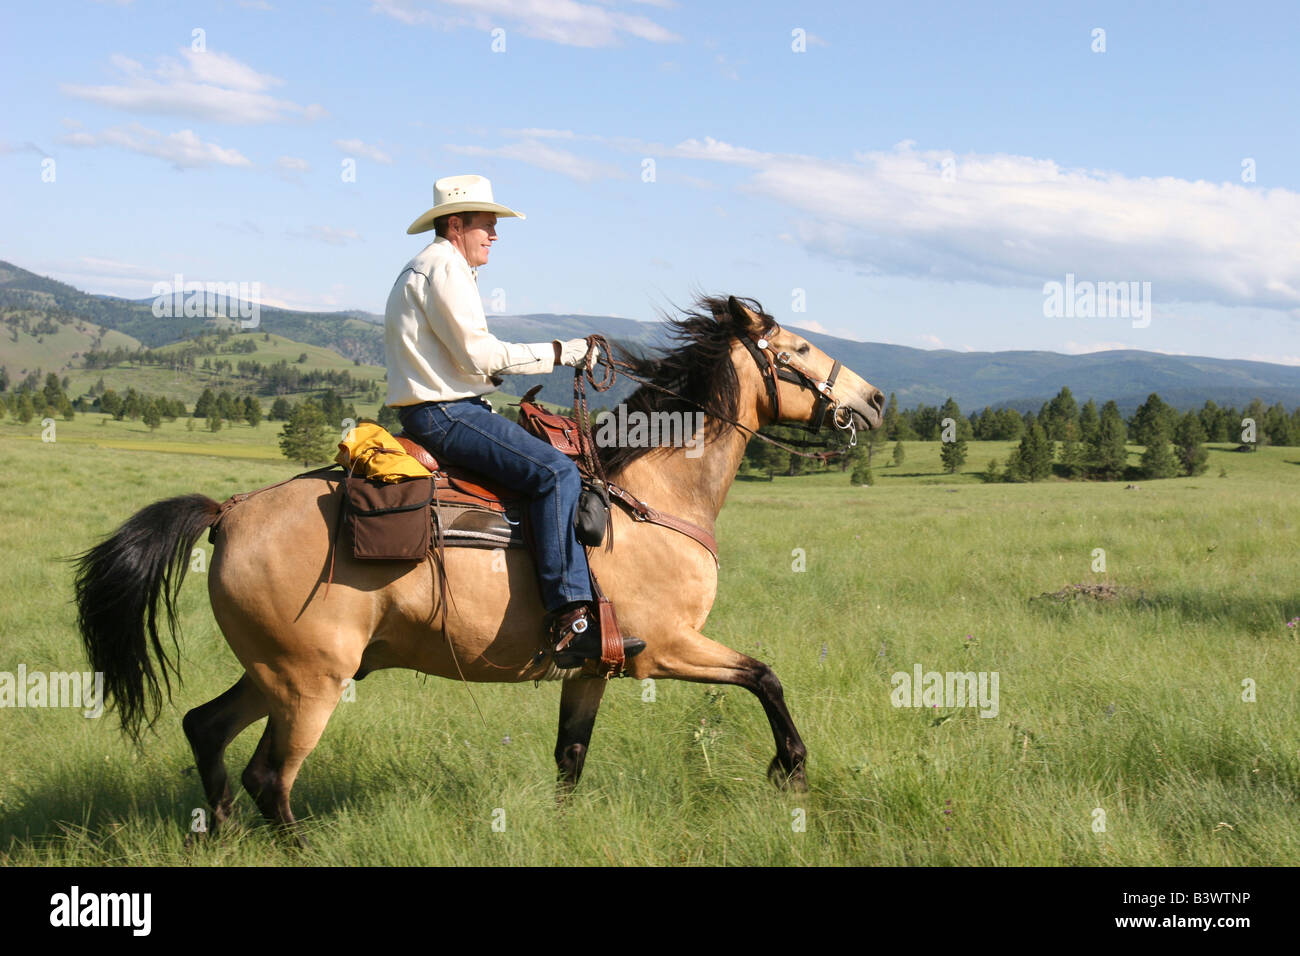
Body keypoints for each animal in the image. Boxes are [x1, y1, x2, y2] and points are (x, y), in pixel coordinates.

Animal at [71, 293, 883, 837]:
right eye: (798, 350)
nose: (874, 401)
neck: (651, 498)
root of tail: (231, 511)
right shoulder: (670, 648)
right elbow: (765, 676)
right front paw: (790, 768)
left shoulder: (596, 665)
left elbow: (570, 754)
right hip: (309, 685)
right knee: (270, 775)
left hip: (275, 672)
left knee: (206, 729)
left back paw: (226, 832)